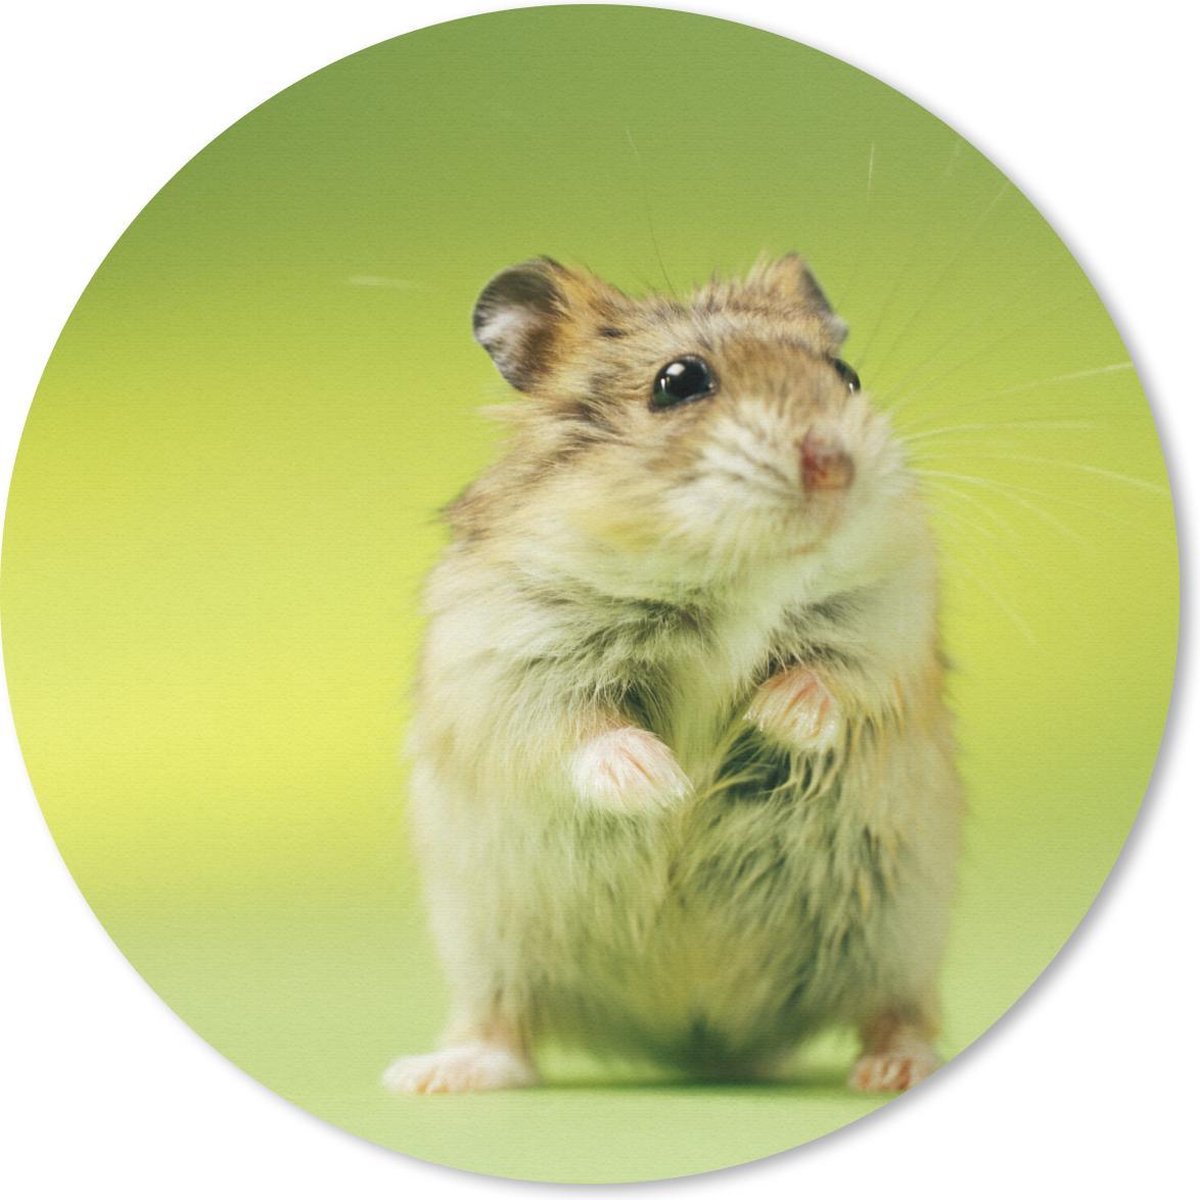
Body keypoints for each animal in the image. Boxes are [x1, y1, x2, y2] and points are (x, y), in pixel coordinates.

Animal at [383, 255, 963, 1095]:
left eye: (847, 376)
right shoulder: (509, 660)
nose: (835, 467)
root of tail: (701, 1037)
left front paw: (772, 716)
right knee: (502, 1027)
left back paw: (896, 1070)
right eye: (680, 381)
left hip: (899, 933)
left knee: (897, 1011)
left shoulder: (889, 617)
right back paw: (432, 1077)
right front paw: (664, 784)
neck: (731, 577)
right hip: (488, 940)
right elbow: (577, 728)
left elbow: (835, 675)